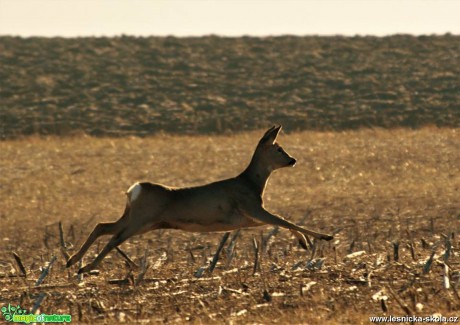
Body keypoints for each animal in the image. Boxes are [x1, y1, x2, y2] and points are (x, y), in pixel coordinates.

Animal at [66, 124, 332, 274]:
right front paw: (324, 237)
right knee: (113, 239)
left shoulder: (247, 218)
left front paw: (304, 243)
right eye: (278, 149)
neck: (251, 183)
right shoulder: (252, 208)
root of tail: (135, 189)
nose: (292, 160)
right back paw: (86, 267)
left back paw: (72, 261)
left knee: (102, 226)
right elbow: (284, 220)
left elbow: (281, 222)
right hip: (140, 220)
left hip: (140, 220)